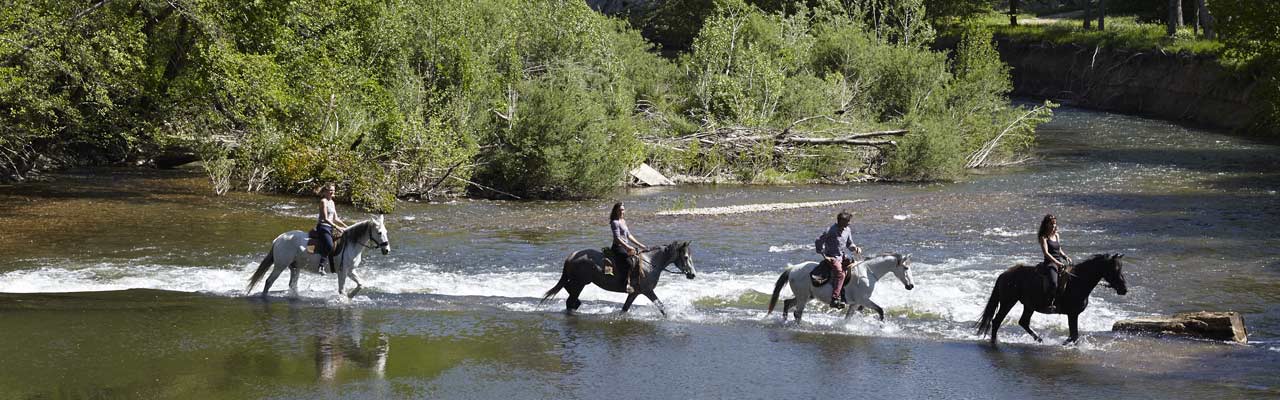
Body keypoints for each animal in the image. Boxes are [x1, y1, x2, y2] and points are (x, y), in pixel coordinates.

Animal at [244, 215, 389, 297]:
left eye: (386, 232)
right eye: (379, 232)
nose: (387, 250)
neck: (351, 244)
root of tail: (277, 240)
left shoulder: (350, 271)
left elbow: (360, 284)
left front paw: (351, 296)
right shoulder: (342, 271)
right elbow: (341, 289)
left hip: (295, 267)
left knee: (292, 285)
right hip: (280, 266)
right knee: (269, 281)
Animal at [542, 242, 701, 316]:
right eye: (685, 257)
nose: (692, 274)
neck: (650, 263)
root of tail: (572, 256)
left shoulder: (634, 293)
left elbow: (625, 308)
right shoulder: (647, 291)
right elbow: (661, 306)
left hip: (578, 282)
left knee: (568, 292)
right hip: (580, 283)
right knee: (570, 301)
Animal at [762, 255, 916, 323]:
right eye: (906, 268)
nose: (911, 286)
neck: (868, 272)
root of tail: (793, 269)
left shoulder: (856, 303)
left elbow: (848, 318)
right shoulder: (863, 300)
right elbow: (880, 310)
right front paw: (882, 327)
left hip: (807, 296)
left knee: (788, 303)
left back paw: (784, 321)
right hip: (803, 297)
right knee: (797, 313)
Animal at [972, 255, 1126, 346]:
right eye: (1115, 269)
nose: (1124, 289)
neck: (1077, 281)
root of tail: (1004, 274)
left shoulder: (1073, 314)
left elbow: (1073, 335)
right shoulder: (1072, 314)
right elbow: (1074, 335)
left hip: (1029, 305)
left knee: (1023, 322)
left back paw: (1039, 339)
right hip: (1008, 302)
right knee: (997, 321)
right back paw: (994, 342)